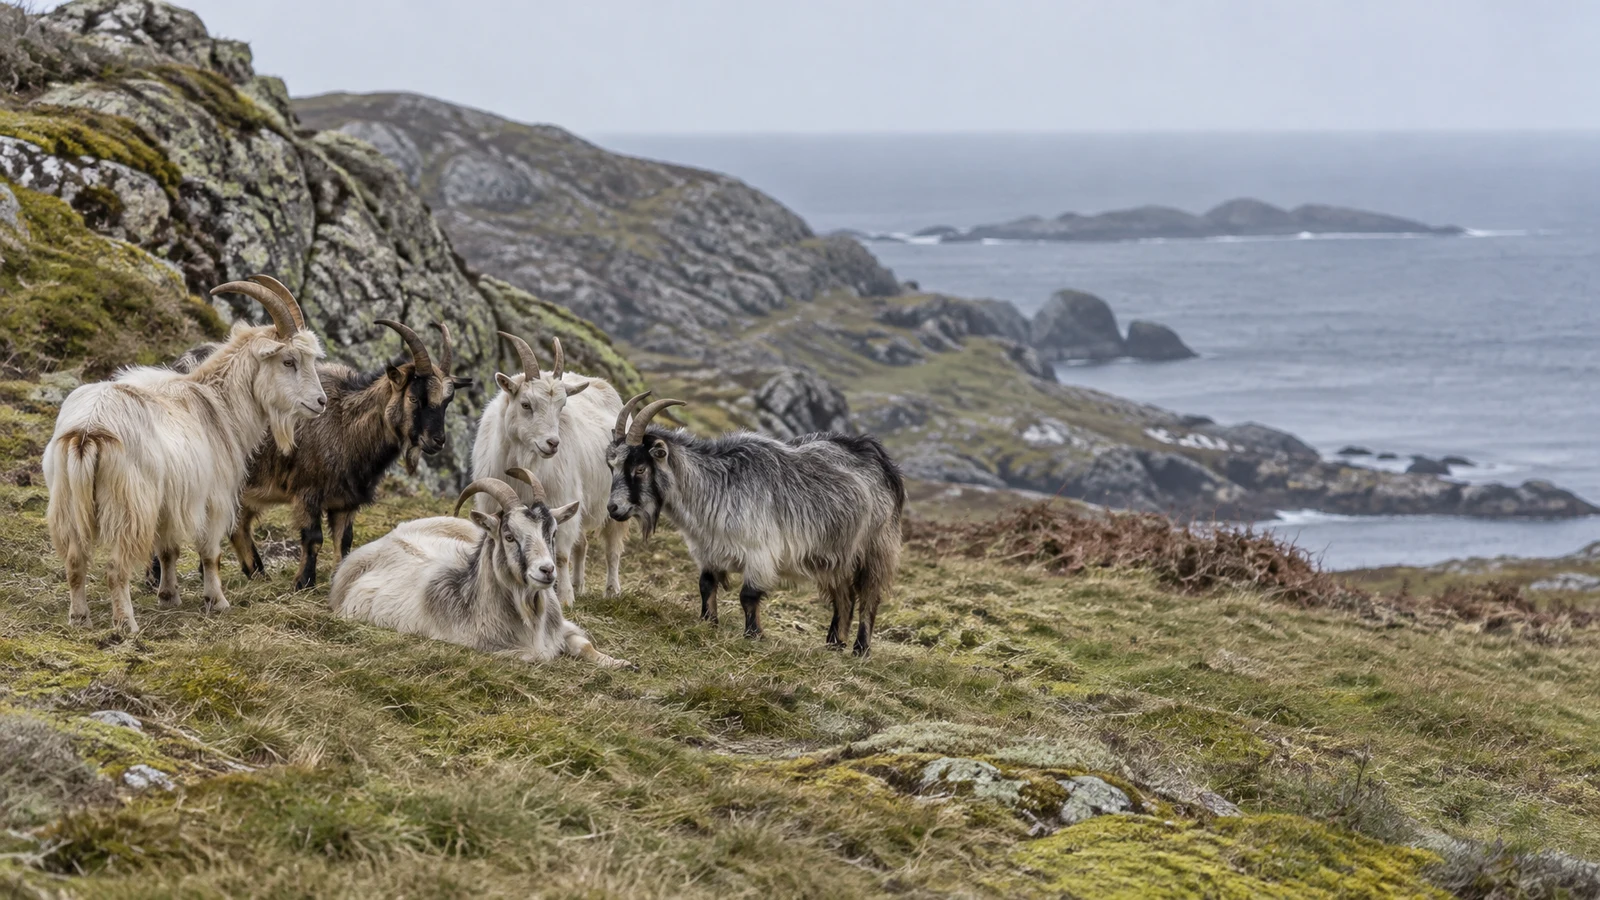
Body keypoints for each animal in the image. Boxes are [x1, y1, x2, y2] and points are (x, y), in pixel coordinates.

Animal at [43, 276, 327, 634]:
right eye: (289, 361)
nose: (321, 402)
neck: (217, 403)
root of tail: (88, 430)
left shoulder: (170, 500)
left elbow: (168, 550)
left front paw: (169, 597)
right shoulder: (214, 497)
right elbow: (209, 553)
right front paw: (217, 601)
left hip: (68, 502)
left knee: (75, 561)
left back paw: (79, 618)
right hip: (129, 507)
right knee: (115, 568)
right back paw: (126, 624)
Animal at [155, 315, 471, 589]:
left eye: (447, 401)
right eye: (415, 397)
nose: (437, 441)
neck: (344, 421)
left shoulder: (346, 501)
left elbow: (344, 540)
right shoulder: (308, 490)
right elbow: (313, 537)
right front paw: (303, 583)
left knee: (237, 524)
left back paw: (253, 573)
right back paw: (157, 578)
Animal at [330, 468, 630, 667]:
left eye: (552, 533)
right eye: (508, 536)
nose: (547, 570)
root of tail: (390, 536)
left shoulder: (563, 627)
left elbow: (585, 644)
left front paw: (620, 663)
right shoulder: (491, 647)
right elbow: (536, 656)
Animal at [471, 332, 627, 606]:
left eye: (562, 406)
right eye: (525, 404)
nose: (553, 443)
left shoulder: (560, 500)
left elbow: (561, 554)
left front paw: (564, 597)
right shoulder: (491, 504)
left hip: (614, 503)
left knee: (612, 549)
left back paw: (611, 591)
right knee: (582, 544)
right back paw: (579, 585)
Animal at [605, 395, 904, 656]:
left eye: (640, 468)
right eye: (612, 466)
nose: (613, 508)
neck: (715, 486)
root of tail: (880, 459)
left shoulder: (760, 551)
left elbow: (748, 595)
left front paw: (753, 635)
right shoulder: (707, 551)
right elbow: (706, 585)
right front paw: (708, 622)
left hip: (875, 548)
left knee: (869, 598)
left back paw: (860, 649)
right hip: (834, 556)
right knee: (844, 598)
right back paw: (834, 643)